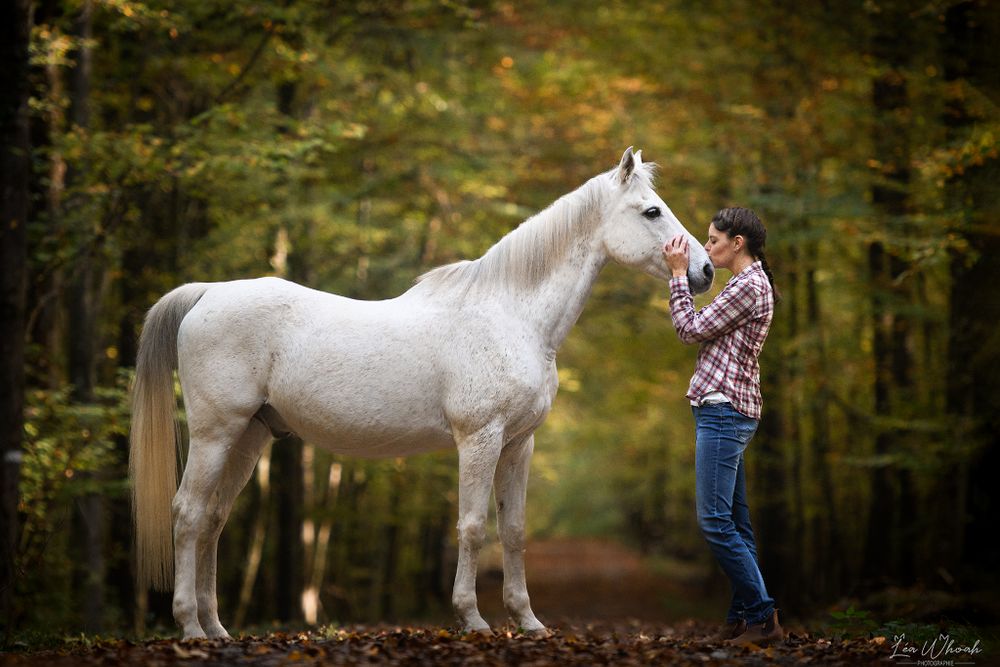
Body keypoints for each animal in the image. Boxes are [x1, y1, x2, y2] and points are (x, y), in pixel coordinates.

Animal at [129, 147, 715, 640]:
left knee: (213, 519)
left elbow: (515, 529)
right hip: (216, 432)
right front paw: (472, 619)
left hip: (249, 436)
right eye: (651, 212)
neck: (511, 315)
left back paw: (217, 629)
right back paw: (190, 627)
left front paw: (528, 621)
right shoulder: (479, 439)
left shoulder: (519, 444)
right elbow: (474, 526)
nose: (706, 270)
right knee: (187, 513)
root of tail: (207, 294)